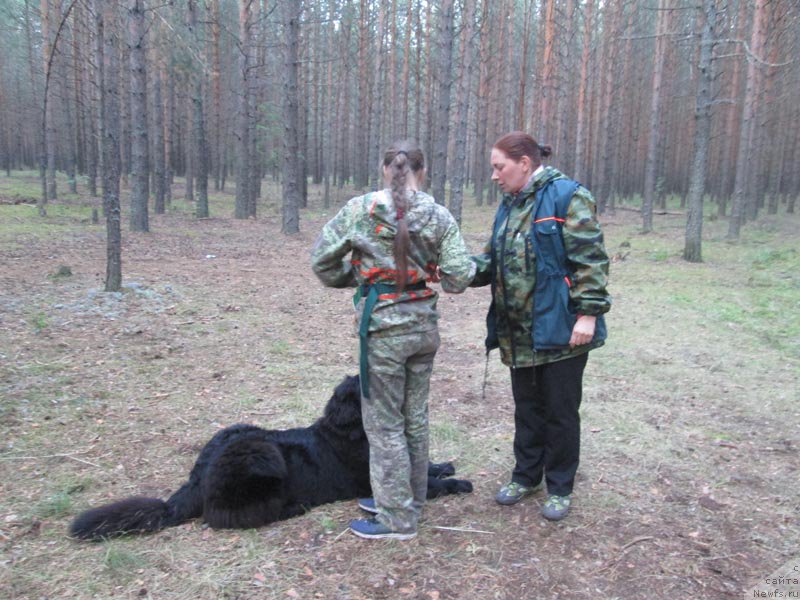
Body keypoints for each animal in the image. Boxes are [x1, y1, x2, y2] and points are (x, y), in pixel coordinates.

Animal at [72, 376, 472, 540]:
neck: (353, 431)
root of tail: (196, 476)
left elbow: (426, 469)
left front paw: (445, 466)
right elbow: (427, 485)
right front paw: (458, 482)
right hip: (260, 452)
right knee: (224, 517)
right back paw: (292, 508)